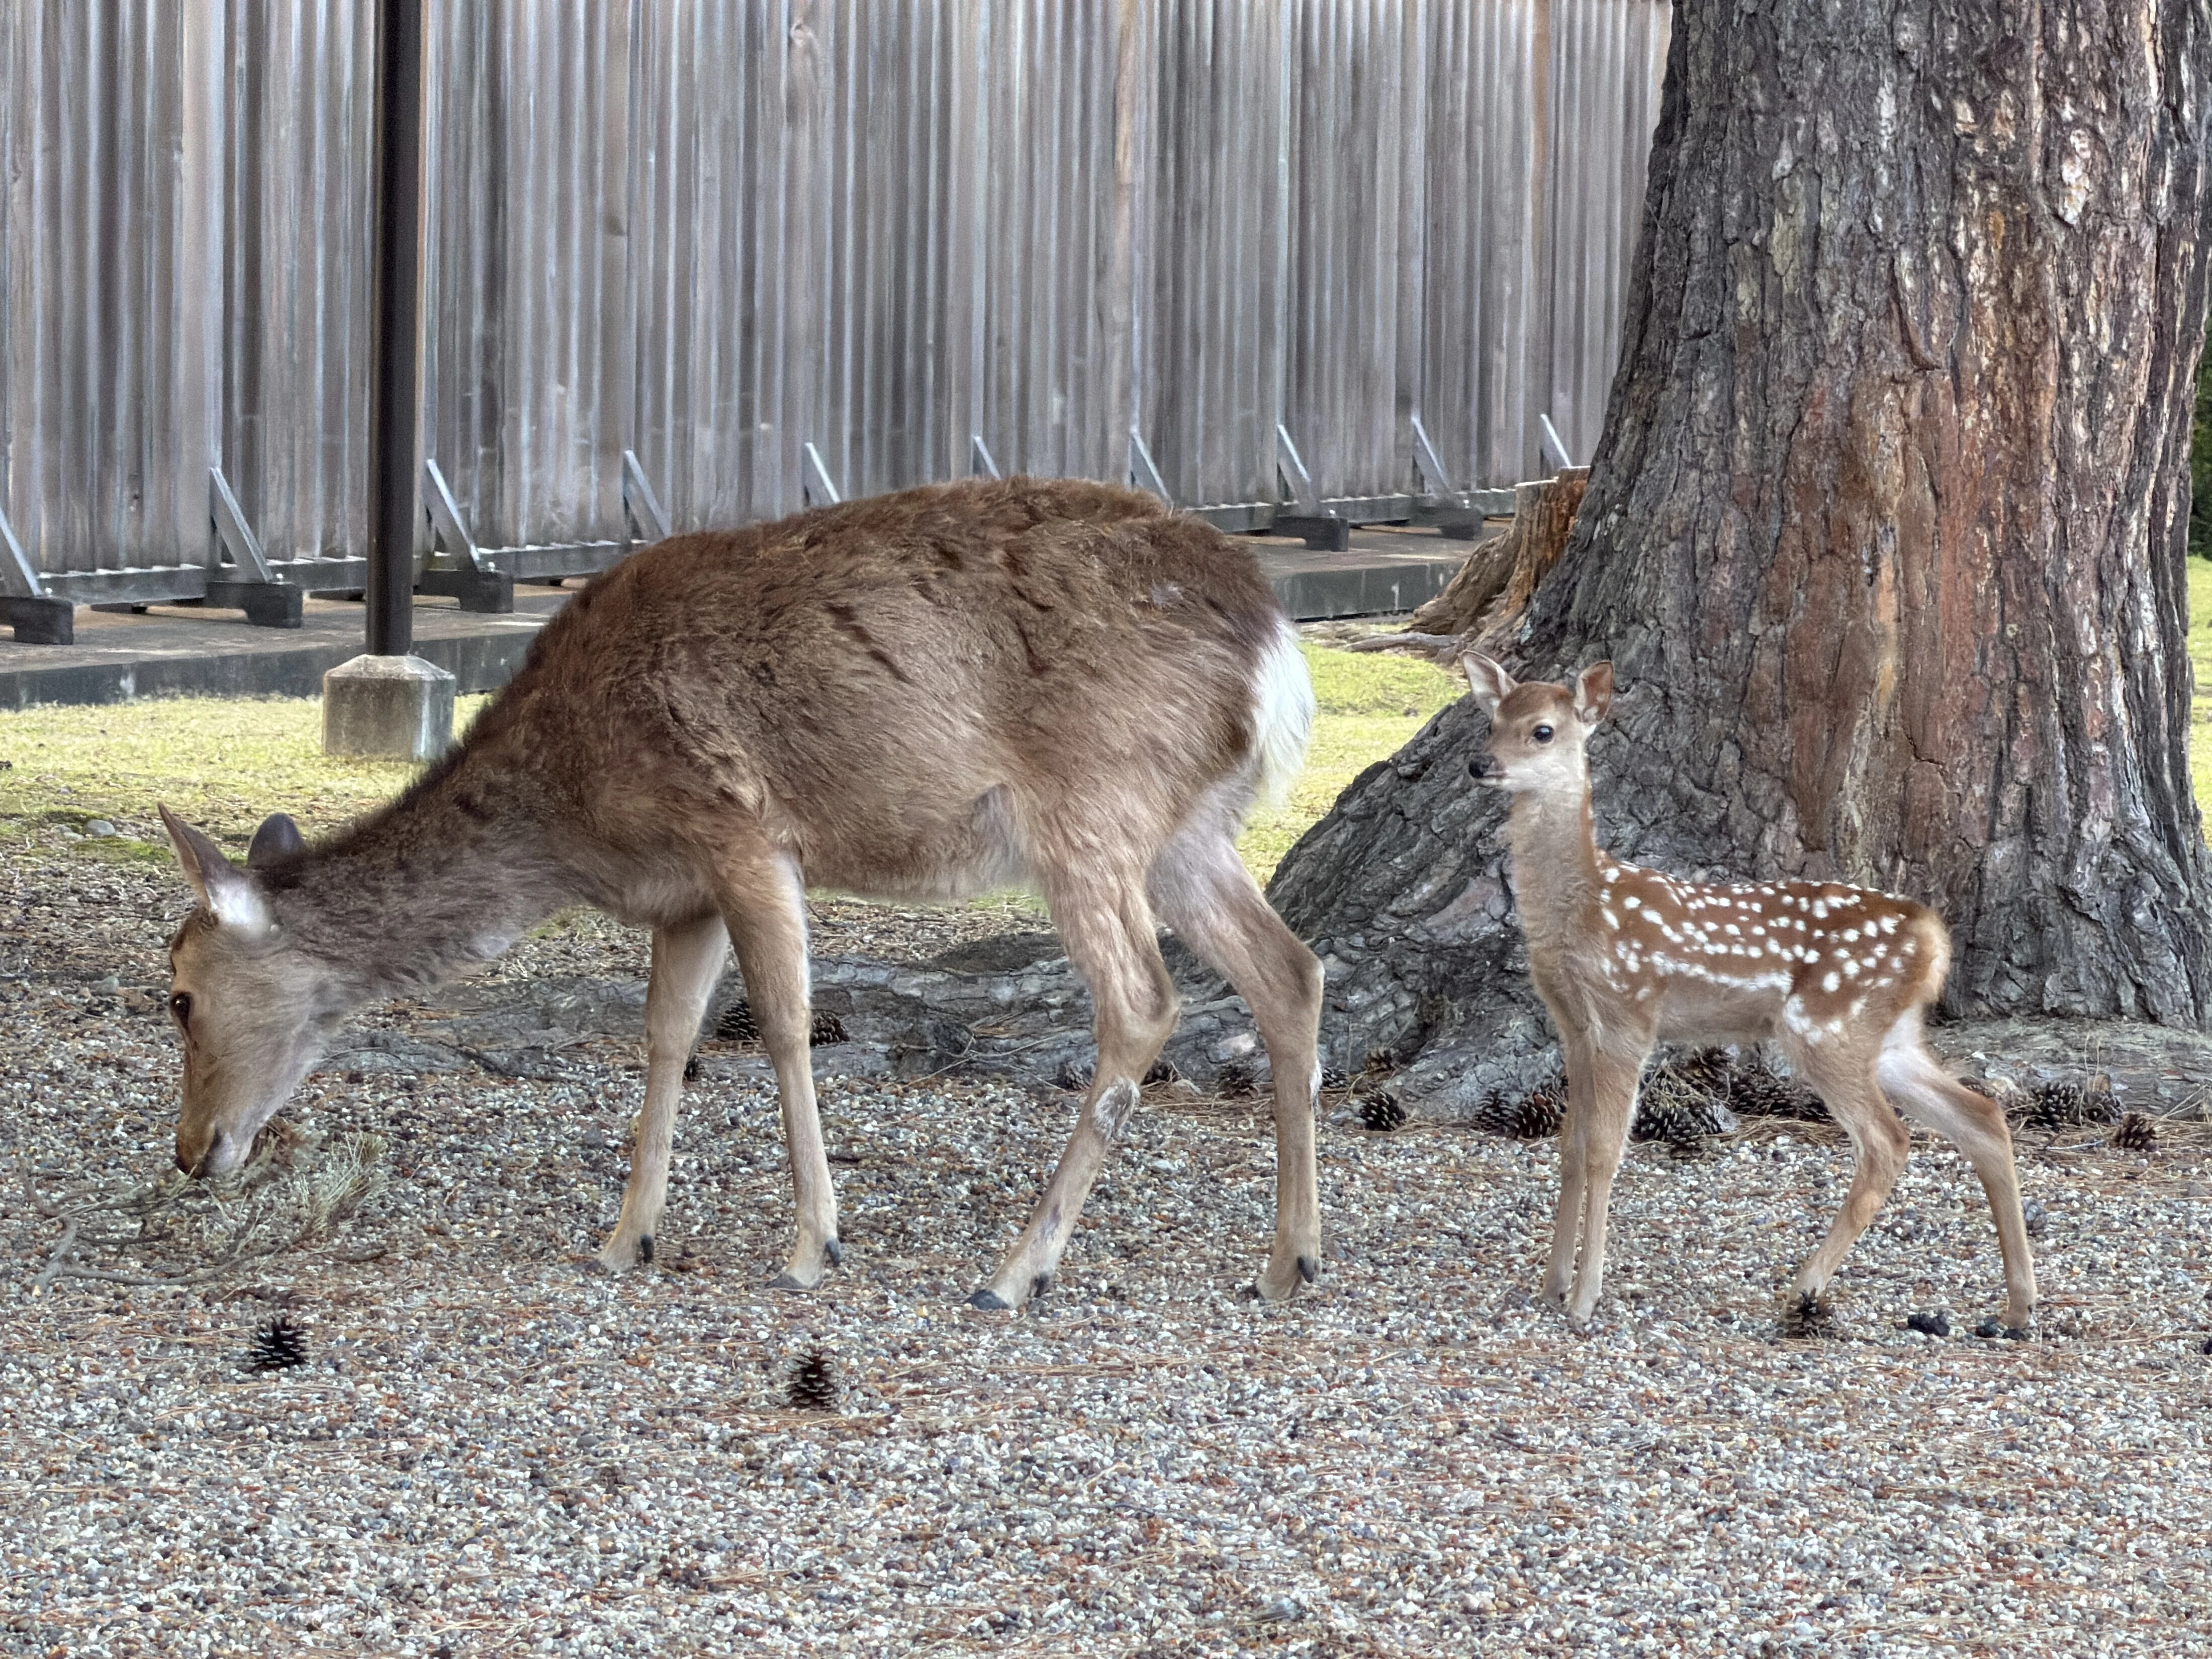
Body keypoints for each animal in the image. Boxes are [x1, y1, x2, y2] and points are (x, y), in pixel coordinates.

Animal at [156, 477, 1325, 1310]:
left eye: (177, 997)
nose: (190, 1153)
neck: (574, 815)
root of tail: (1277, 650)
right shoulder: (685, 895)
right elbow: (667, 1034)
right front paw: (625, 1238)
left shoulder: (742, 830)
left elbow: (780, 1023)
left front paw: (812, 1245)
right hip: (1188, 829)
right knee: (1291, 969)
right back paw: (1288, 1262)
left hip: (1090, 804)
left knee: (1143, 1000)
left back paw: (1014, 1273)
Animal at [1463, 652, 2036, 1335]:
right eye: (1491, 721)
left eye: (1543, 731)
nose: (1479, 765)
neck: (1580, 907)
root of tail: (1930, 934)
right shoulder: (1572, 1024)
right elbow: (1571, 1147)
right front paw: (1550, 1286)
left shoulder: (1629, 1012)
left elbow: (1605, 1151)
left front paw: (1583, 1299)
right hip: (1884, 1036)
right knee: (1982, 1117)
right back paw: (2017, 1303)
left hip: (1826, 1027)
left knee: (1887, 1143)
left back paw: (1803, 1287)